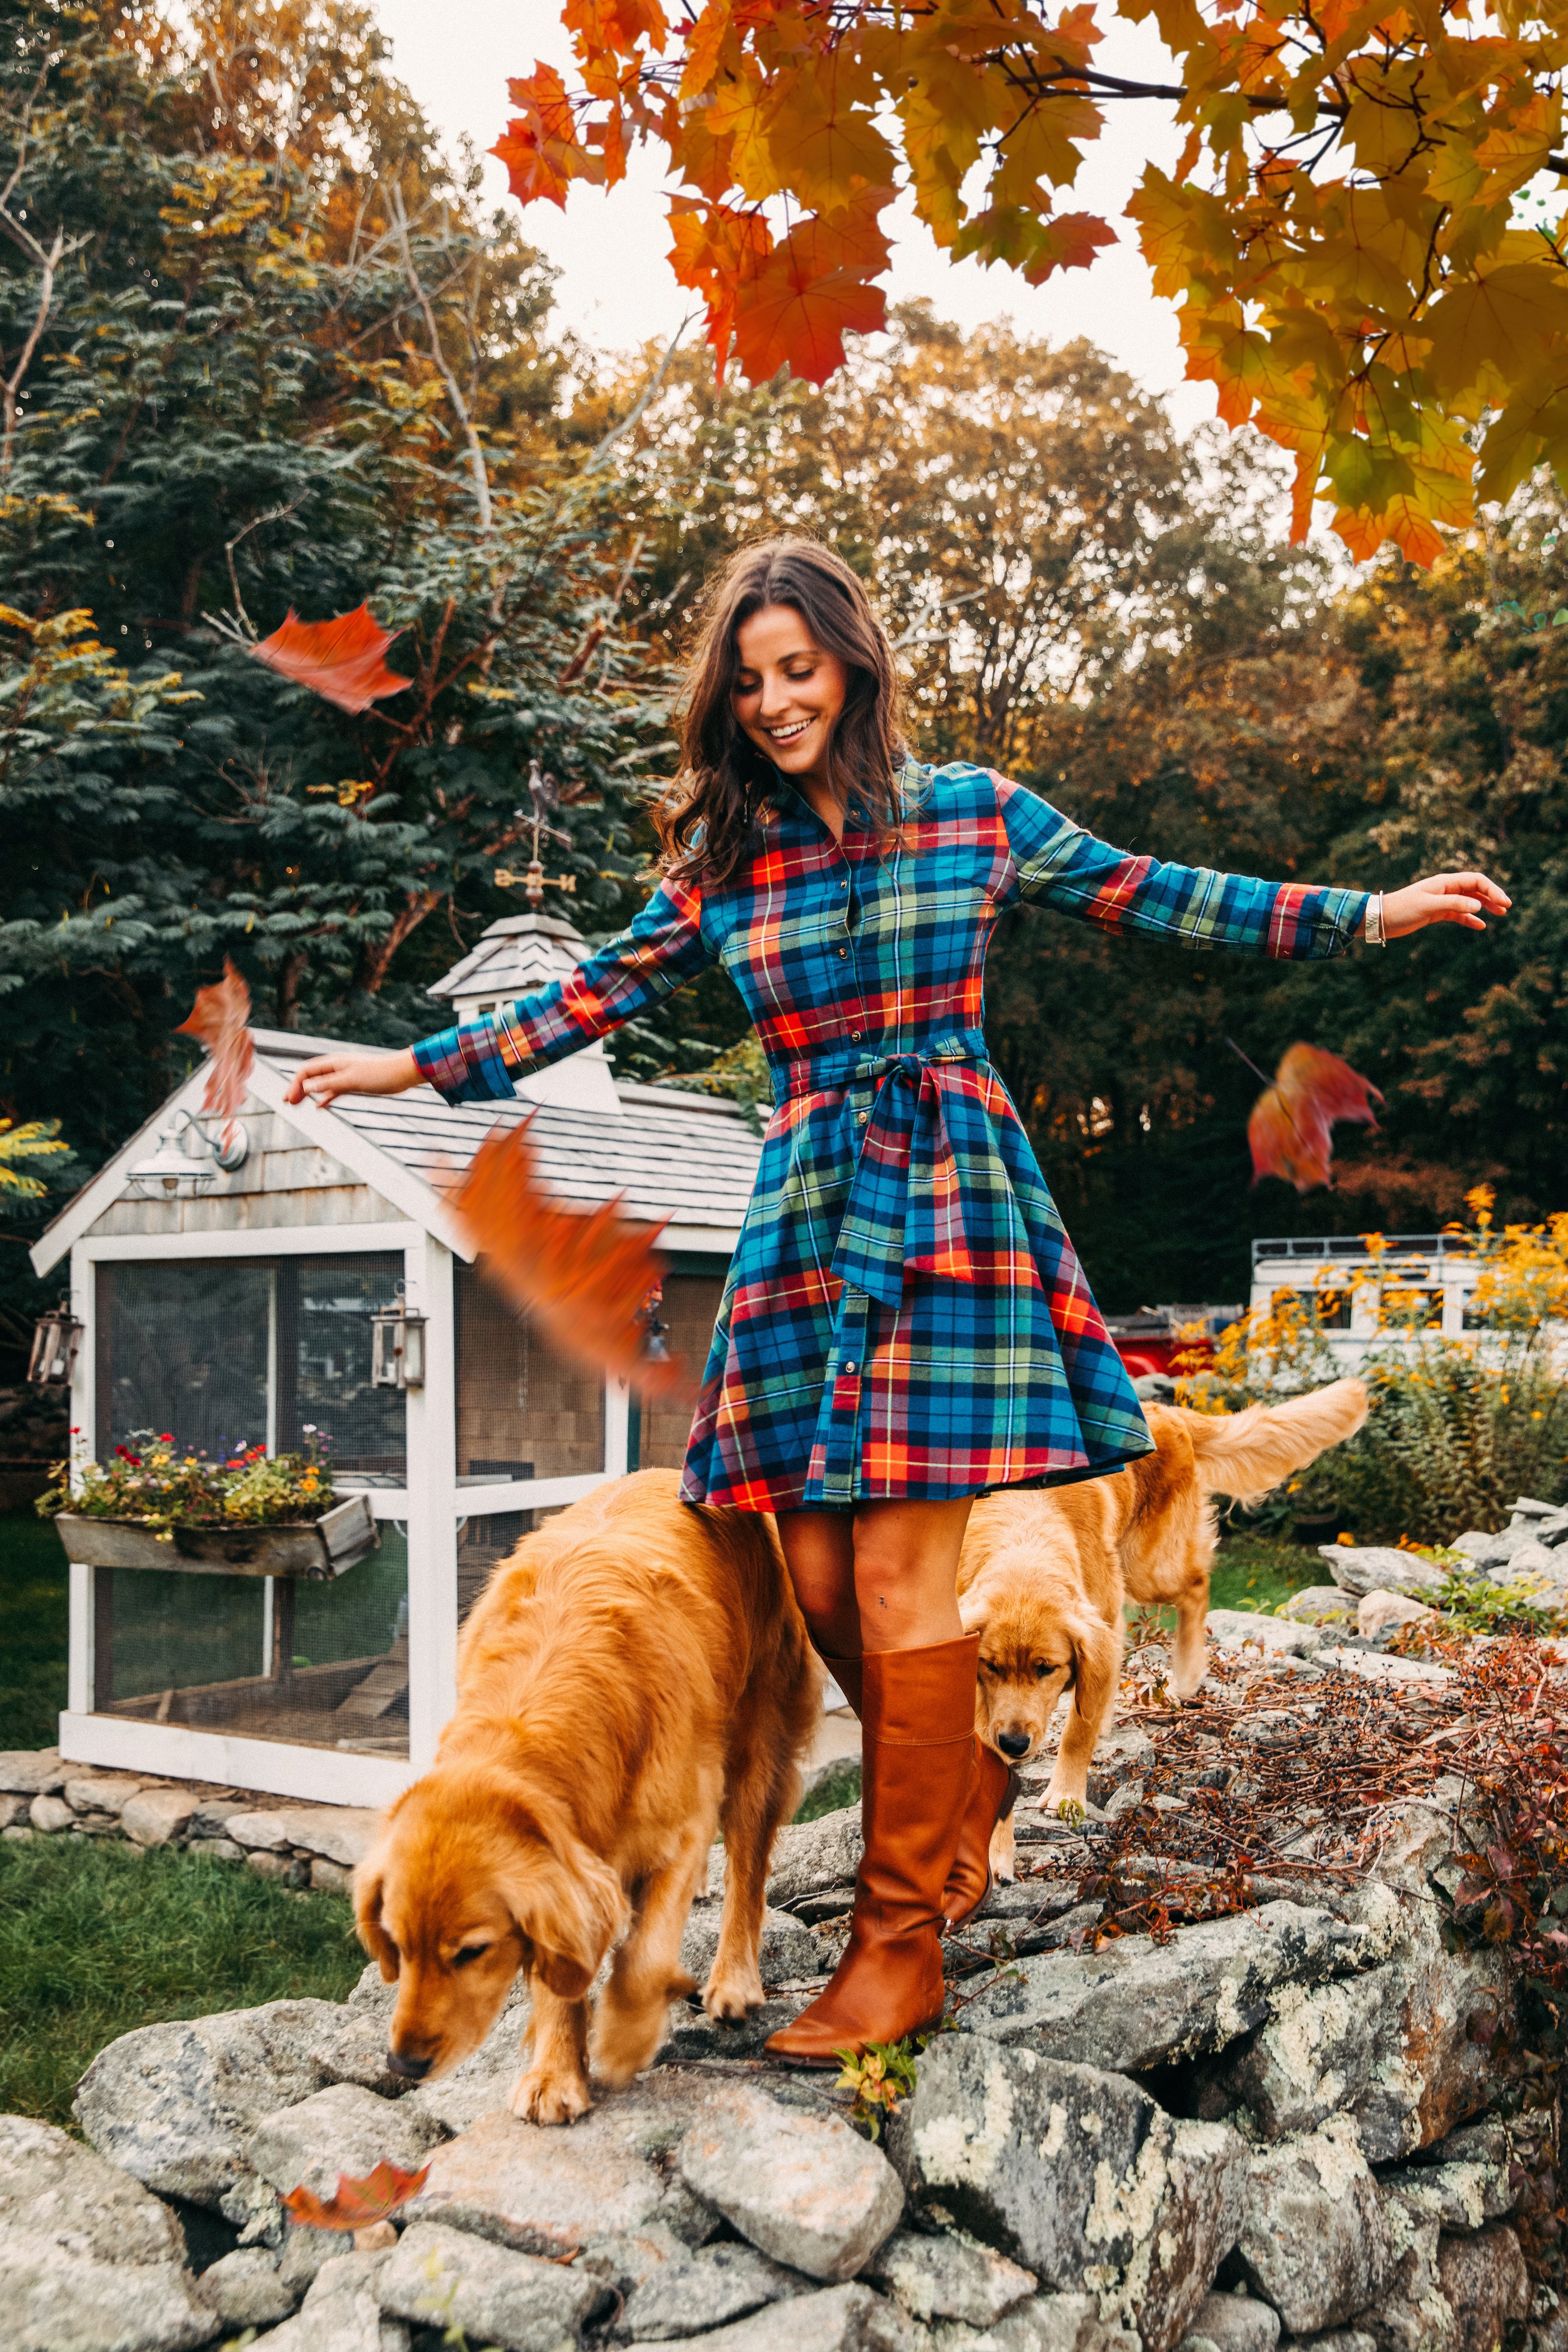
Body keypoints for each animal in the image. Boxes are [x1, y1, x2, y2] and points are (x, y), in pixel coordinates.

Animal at [354, 1467, 823, 2116]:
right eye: (396, 1945)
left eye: (471, 1951)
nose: (403, 2065)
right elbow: (562, 1969)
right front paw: (555, 2076)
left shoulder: (679, 1826)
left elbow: (645, 1958)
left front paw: (624, 2041)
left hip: (760, 1733)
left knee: (748, 1870)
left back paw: (733, 1981)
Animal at [949, 1373, 1363, 1872]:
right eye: (991, 1667)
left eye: (1047, 1669)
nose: (1014, 1743)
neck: (1025, 1538)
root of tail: (1164, 1411)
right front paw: (995, 1851)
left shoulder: (1095, 1626)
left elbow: (1077, 1729)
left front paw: (1066, 1794)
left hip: (1148, 1568)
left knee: (1198, 1585)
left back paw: (1185, 1673)